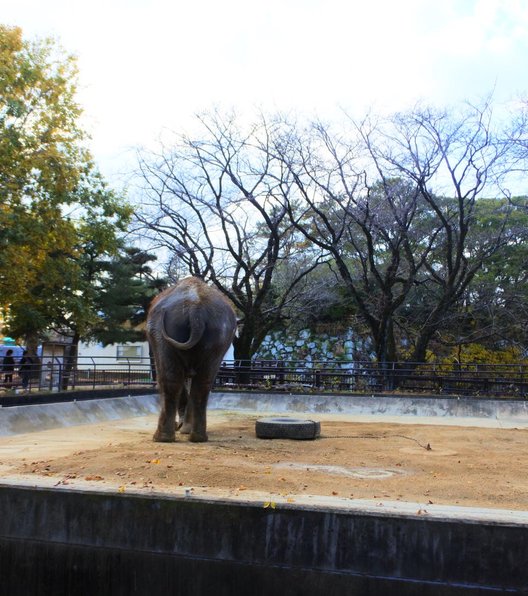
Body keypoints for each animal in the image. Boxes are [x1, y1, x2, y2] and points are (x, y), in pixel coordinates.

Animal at [144, 276, 235, 442]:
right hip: (219, 334)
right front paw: (184, 429)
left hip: (163, 330)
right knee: (203, 382)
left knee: (169, 378)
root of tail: (195, 308)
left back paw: (161, 437)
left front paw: (181, 428)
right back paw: (197, 437)